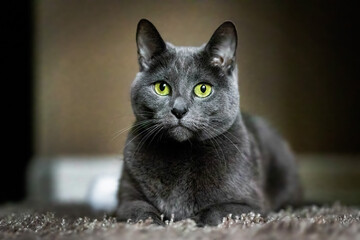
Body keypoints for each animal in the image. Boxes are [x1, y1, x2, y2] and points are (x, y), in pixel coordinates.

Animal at [115, 19, 300, 227]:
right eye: (161, 87)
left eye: (203, 89)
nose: (179, 110)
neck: (181, 153)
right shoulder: (126, 200)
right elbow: (140, 211)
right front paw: (155, 224)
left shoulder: (253, 206)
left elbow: (215, 211)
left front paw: (191, 222)